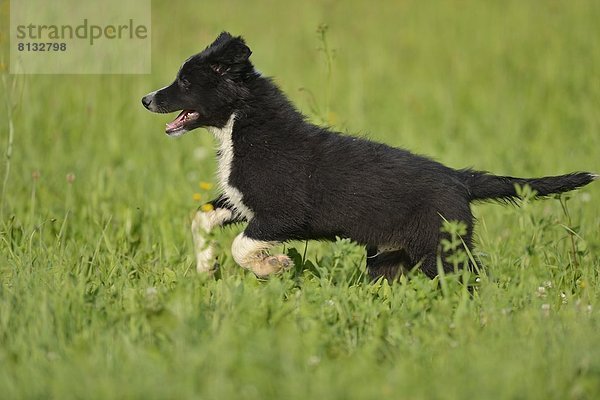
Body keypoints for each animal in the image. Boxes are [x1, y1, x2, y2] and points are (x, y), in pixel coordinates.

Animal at [143, 32, 596, 282]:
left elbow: (241, 245)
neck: (241, 124)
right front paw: (206, 267)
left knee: (472, 281)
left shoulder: (282, 214)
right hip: (389, 257)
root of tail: (459, 178)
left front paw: (273, 266)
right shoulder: (242, 201)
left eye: (185, 82)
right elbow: (200, 217)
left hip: (441, 249)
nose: (146, 99)